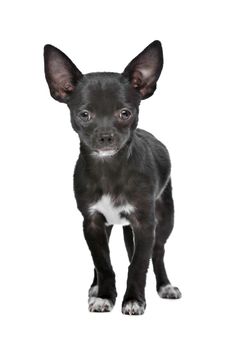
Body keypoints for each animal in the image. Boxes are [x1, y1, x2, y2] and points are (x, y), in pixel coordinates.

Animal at [44, 40, 182, 314]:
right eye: (84, 114)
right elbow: (103, 263)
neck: (110, 169)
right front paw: (105, 296)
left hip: (165, 219)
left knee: (157, 253)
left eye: (125, 113)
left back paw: (164, 286)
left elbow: (138, 264)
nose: (106, 136)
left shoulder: (145, 223)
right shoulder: (92, 223)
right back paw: (95, 287)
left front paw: (133, 299)